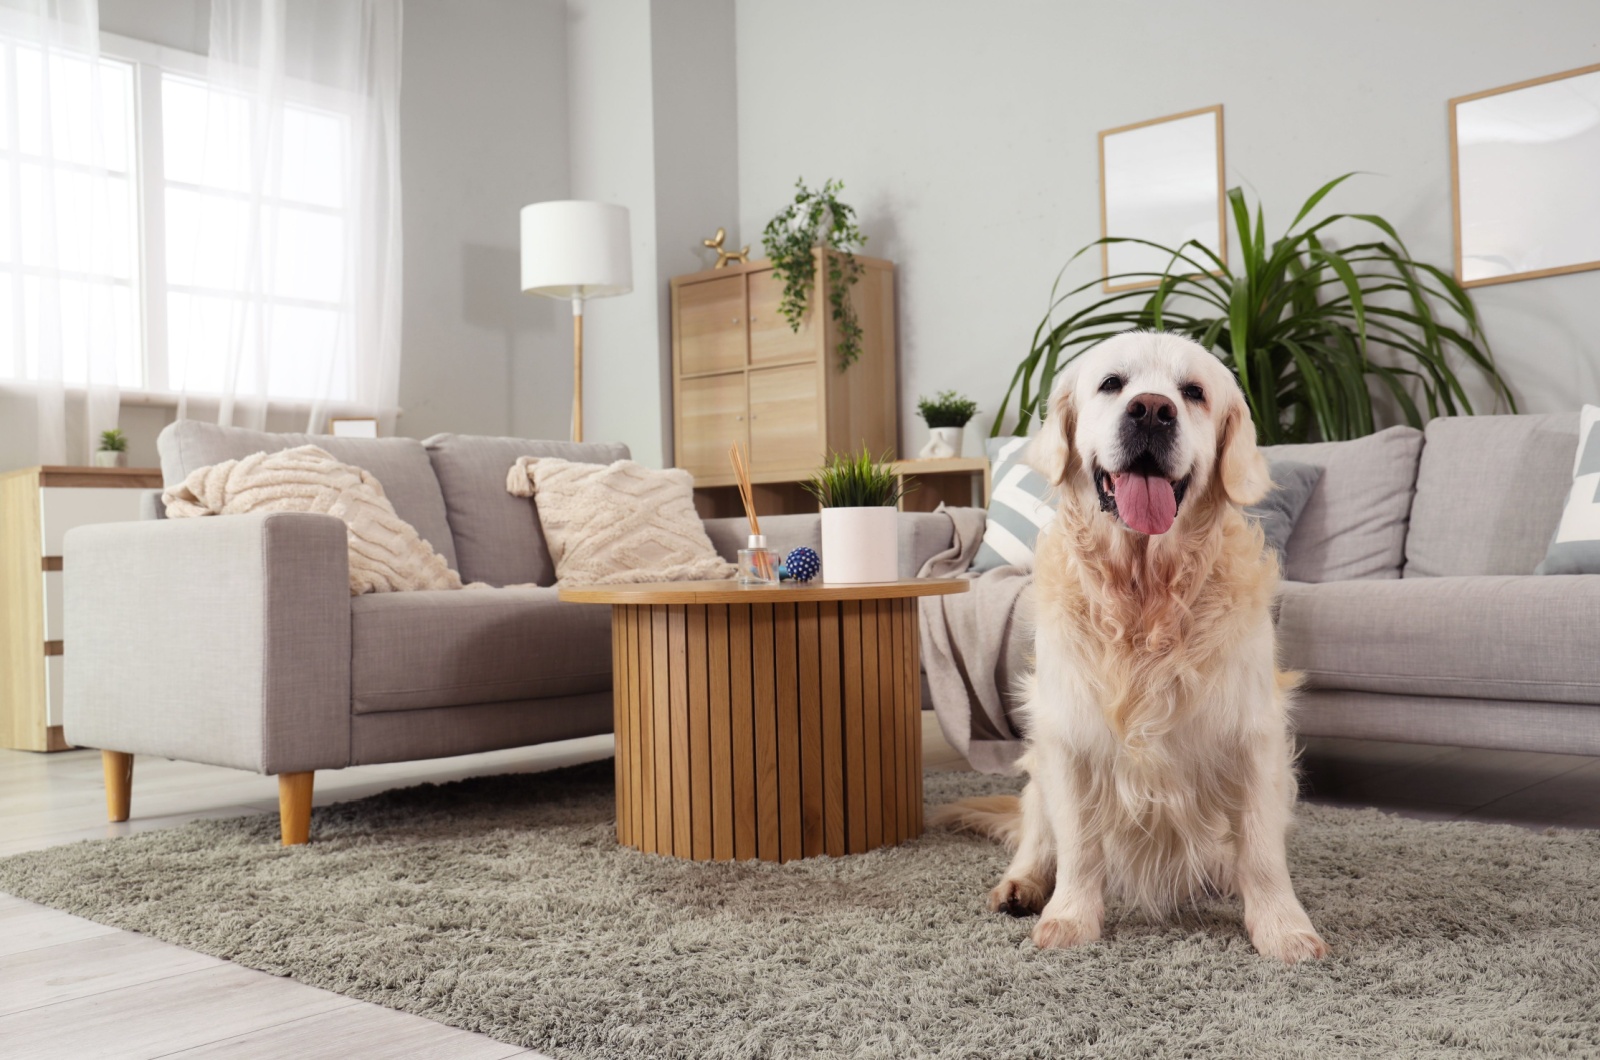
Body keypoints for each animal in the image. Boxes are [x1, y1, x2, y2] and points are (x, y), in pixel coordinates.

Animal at [934, 329, 1324, 960]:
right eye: (1112, 383)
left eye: (1193, 392)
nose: (1152, 410)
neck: (1145, 597)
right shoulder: (1069, 736)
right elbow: (1078, 847)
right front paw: (1070, 918)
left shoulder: (1254, 737)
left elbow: (1263, 854)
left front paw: (1283, 928)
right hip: (1037, 763)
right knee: (1037, 833)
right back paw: (1022, 885)